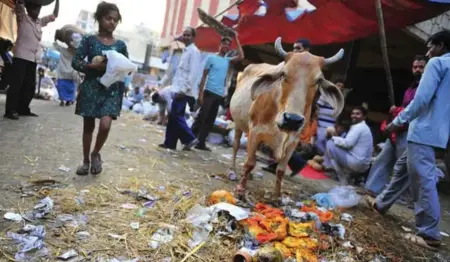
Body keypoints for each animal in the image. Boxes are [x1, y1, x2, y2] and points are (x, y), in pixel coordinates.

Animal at [229, 36, 344, 200]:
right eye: (283, 74)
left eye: (318, 80)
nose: (292, 119)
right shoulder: (256, 130)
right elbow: (250, 163)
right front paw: (240, 190)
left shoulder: (294, 140)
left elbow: (281, 169)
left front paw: (277, 197)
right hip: (239, 123)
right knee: (236, 146)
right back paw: (233, 171)